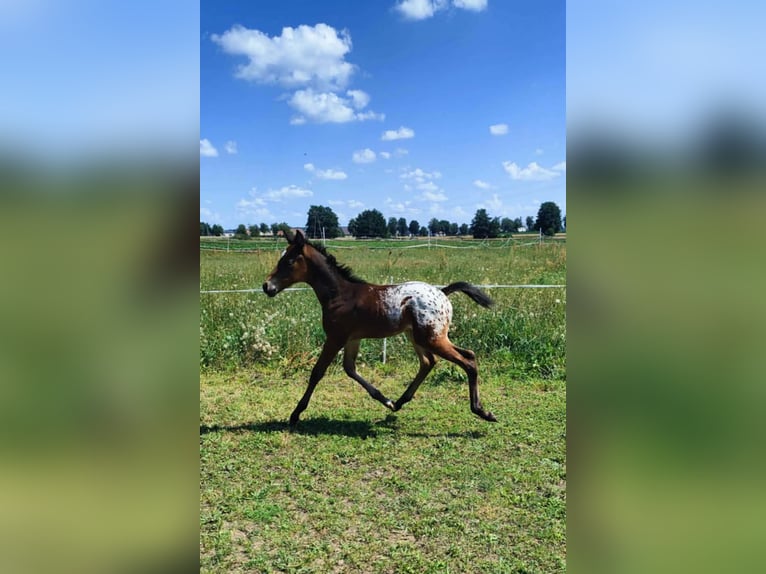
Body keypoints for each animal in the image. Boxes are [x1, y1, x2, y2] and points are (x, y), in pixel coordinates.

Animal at [262, 229, 497, 426]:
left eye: (289, 260)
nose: (267, 286)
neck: (340, 295)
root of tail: (442, 292)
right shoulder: (352, 339)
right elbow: (350, 369)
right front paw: (386, 400)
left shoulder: (335, 338)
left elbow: (317, 372)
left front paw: (295, 414)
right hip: (417, 336)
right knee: (430, 362)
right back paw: (399, 402)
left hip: (432, 338)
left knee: (467, 360)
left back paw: (482, 411)